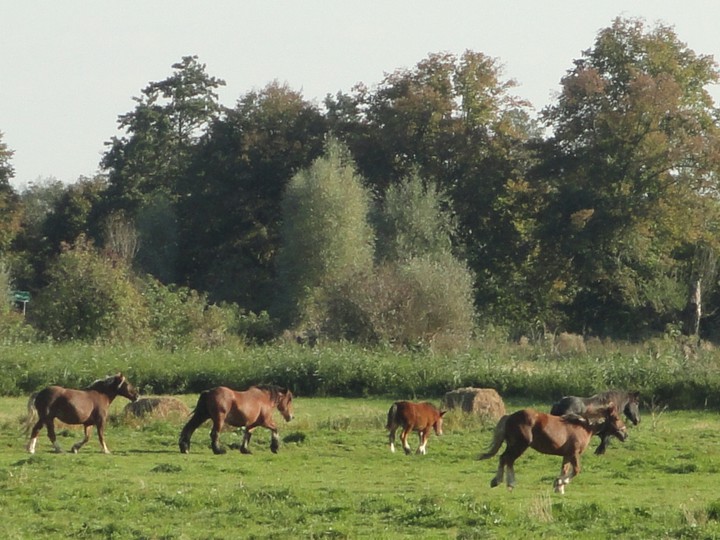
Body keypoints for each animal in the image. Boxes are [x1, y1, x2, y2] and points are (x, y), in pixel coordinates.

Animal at [480, 400, 628, 494]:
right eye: (616, 418)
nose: (625, 434)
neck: (584, 426)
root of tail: (510, 416)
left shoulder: (567, 455)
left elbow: (564, 469)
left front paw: (559, 487)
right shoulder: (574, 453)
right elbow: (576, 470)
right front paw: (560, 482)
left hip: (513, 445)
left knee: (503, 458)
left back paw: (497, 481)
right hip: (519, 445)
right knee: (508, 459)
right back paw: (508, 483)